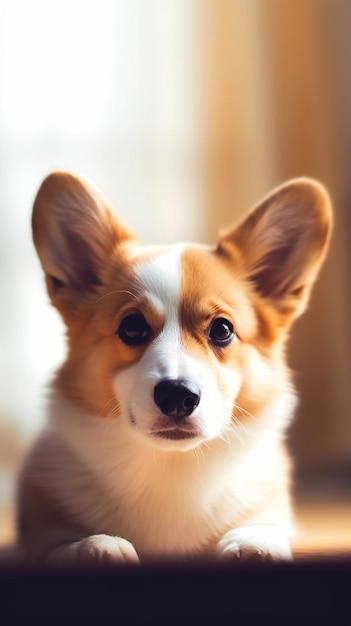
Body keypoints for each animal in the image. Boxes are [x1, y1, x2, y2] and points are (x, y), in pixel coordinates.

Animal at [17, 168, 332, 564]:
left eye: (222, 329)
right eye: (132, 327)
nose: (178, 396)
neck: (171, 466)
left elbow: (264, 524)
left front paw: (254, 544)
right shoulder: (41, 528)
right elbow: (59, 546)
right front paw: (97, 545)